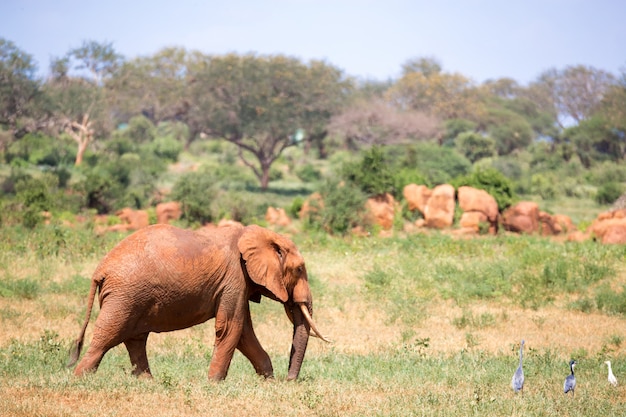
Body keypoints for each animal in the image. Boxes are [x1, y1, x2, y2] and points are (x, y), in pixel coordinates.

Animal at [68, 224, 326, 380]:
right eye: (300, 269)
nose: (288, 380)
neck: (257, 234)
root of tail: (100, 269)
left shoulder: (238, 284)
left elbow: (243, 332)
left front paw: (268, 381)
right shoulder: (234, 278)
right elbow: (231, 328)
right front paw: (214, 384)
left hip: (131, 296)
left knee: (135, 339)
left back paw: (148, 383)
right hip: (124, 295)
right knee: (107, 337)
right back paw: (79, 380)